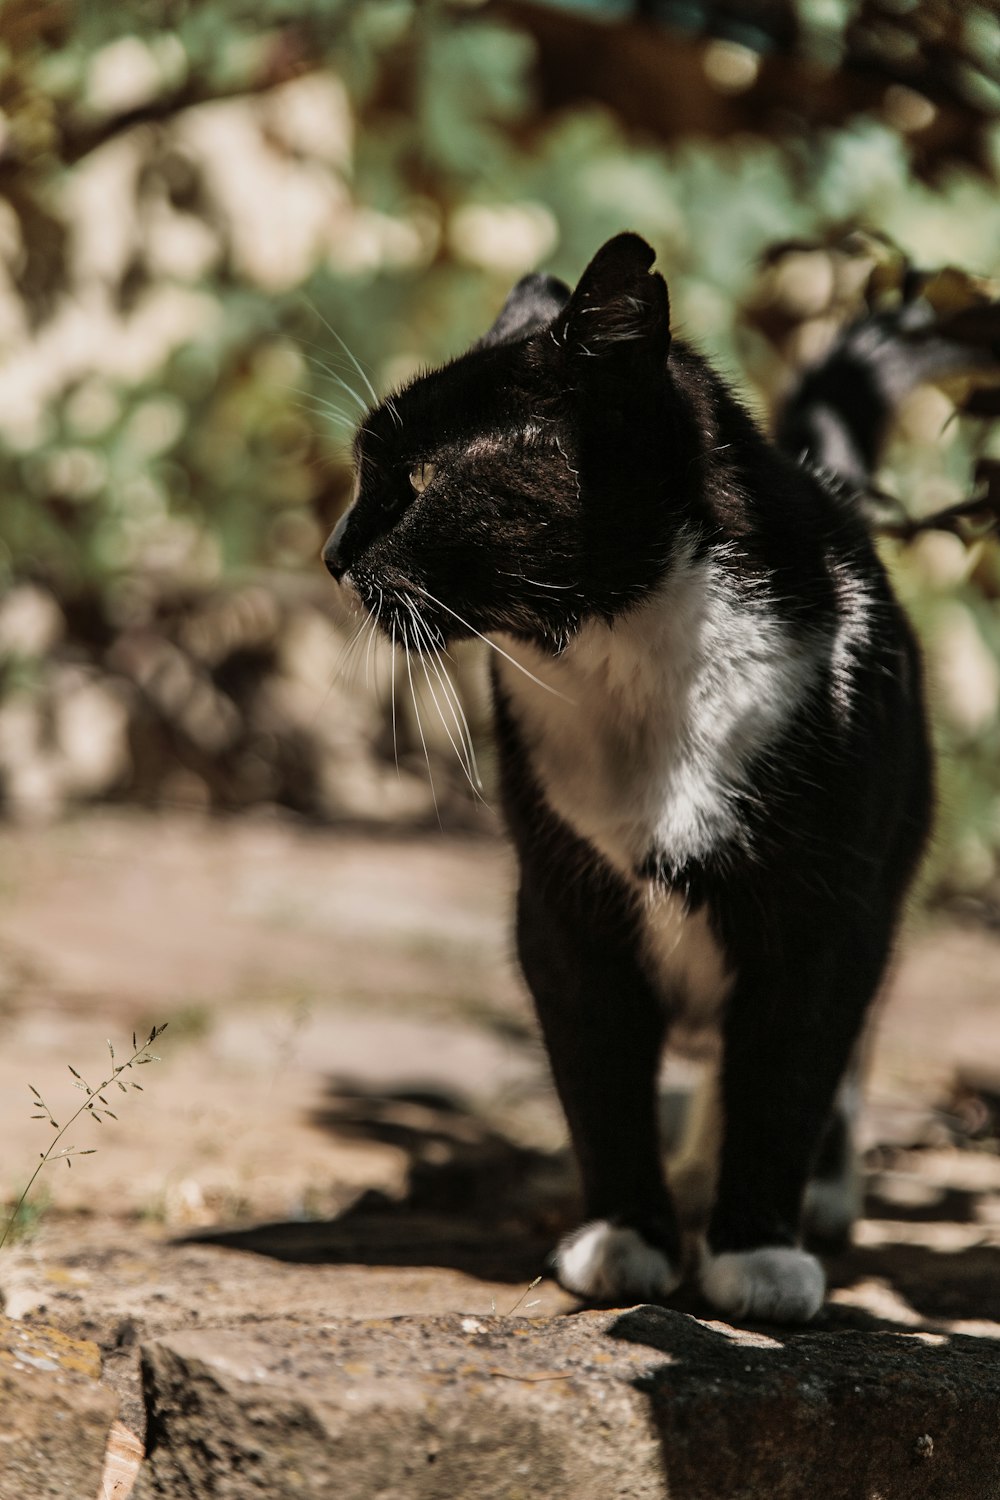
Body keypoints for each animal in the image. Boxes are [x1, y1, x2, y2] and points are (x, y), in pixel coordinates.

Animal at [325, 234, 935, 1326]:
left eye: (419, 480)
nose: (332, 554)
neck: (632, 662)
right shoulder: (562, 899)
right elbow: (598, 1067)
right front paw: (624, 1238)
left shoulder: (828, 905)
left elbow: (790, 1065)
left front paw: (756, 1253)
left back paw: (814, 1197)